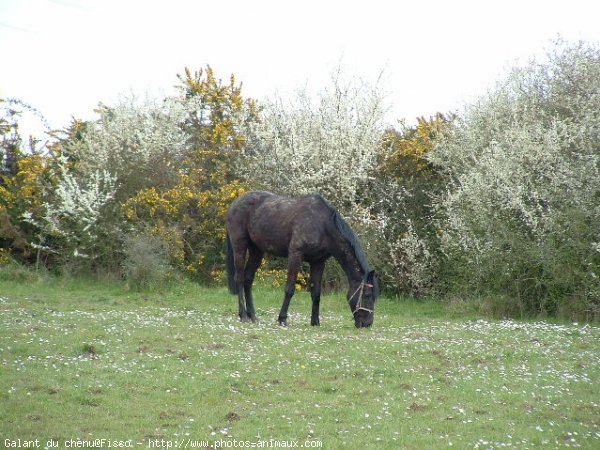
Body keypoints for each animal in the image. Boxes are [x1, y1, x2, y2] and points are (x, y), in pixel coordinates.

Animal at [226, 190, 380, 326]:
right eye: (366, 295)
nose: (367, 324)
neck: (322, 225)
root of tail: (235, 203)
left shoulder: (318, 262)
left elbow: (316, 293)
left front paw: (315, 322)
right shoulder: (295, 255)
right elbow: (289, 289)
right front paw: (282, 319)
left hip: (256, 251)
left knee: (248, 279)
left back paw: (252, 316)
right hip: (240, 246)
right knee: (239, 279)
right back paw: (243, 315)